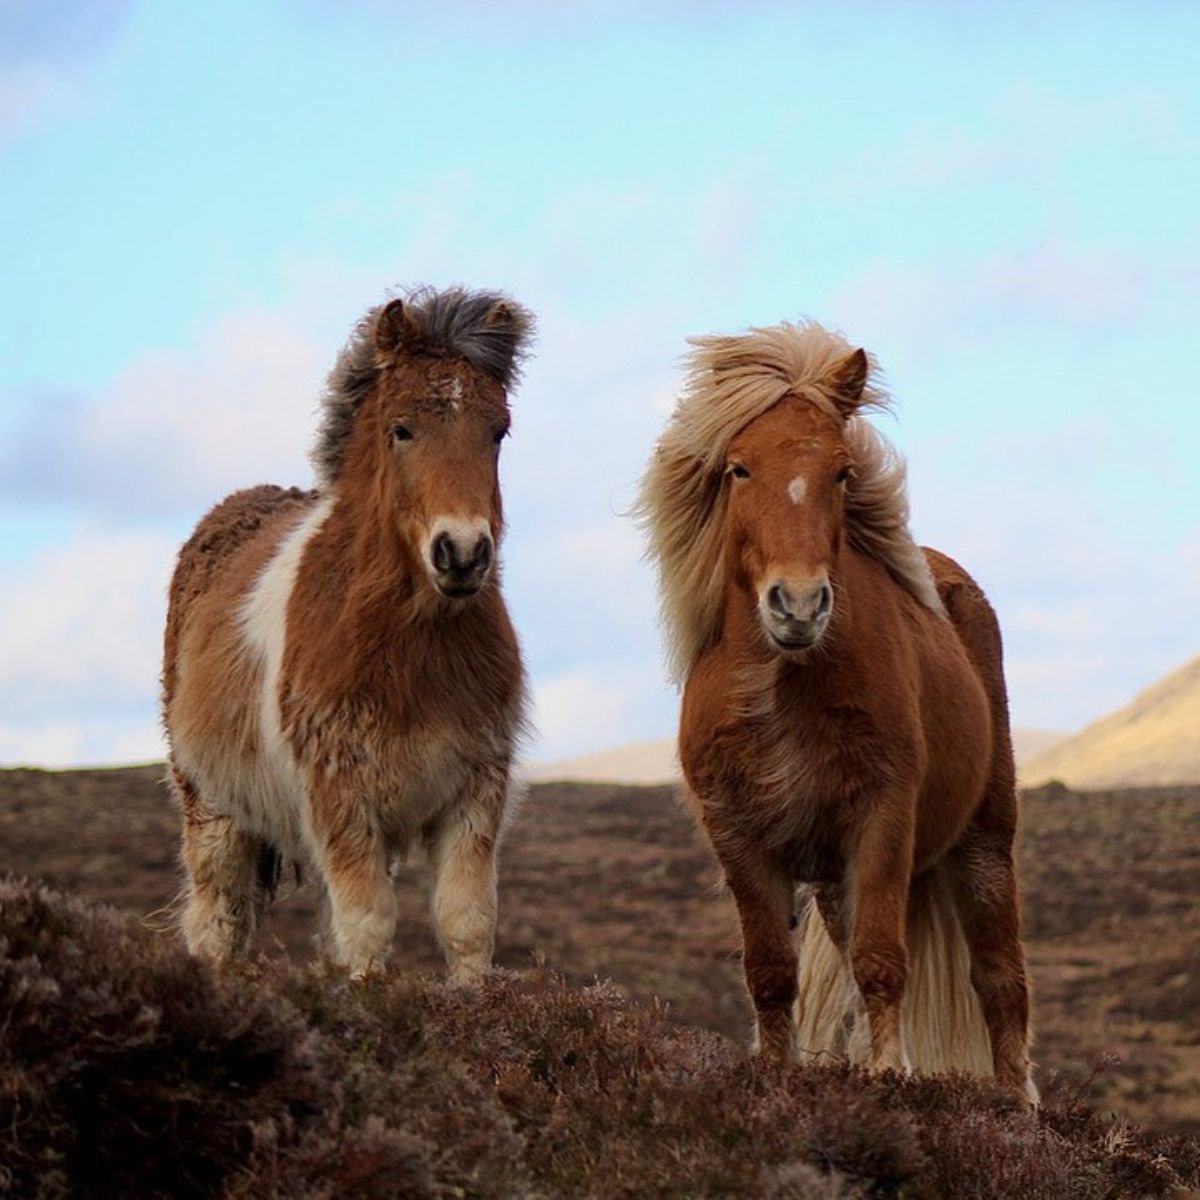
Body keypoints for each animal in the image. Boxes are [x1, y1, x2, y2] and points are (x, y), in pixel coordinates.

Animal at [162, 288, 532, 984]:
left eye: (497, 431)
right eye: (401, 429)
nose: (463, 553)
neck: (409, 652)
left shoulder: (473, 794)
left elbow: (466, 922)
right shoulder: (342, 799)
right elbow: (367, 928)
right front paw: (366, 997)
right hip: (213, 810)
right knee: (218, 920)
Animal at [638, 321, 1041, 1104]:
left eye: (843, 473)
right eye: (739, 470)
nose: (797, 605)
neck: (783, 688)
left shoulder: (881, 817)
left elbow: (881, 958)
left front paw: (887, 1074)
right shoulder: (739, 835)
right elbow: (770, 970)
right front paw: (778, 1070)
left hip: (983, 840)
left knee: (999, 980)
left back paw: (1017, 1106)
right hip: (832, 877)